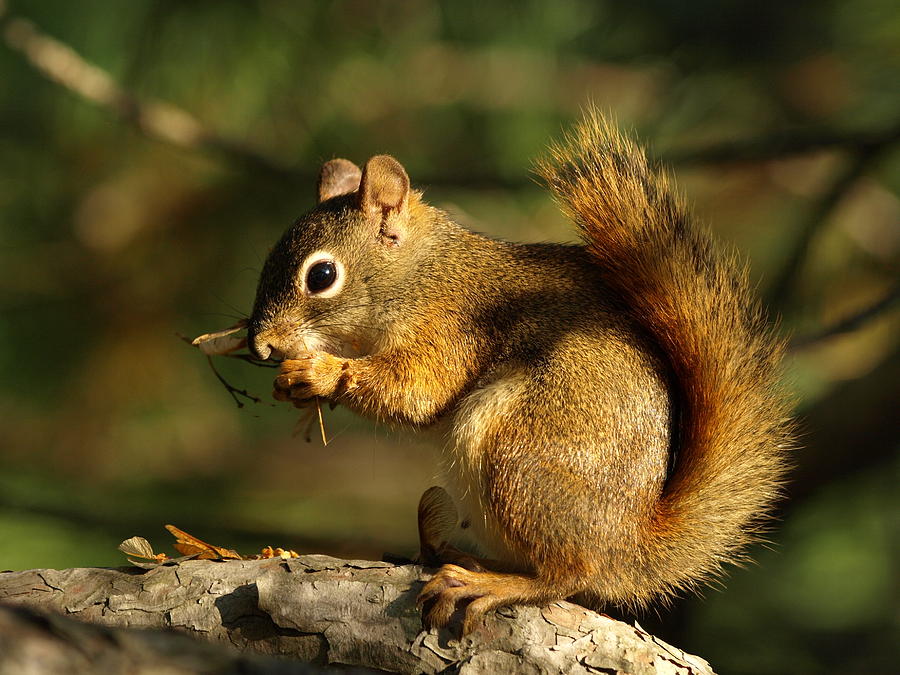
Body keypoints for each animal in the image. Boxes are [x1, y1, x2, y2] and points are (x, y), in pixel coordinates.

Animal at [246, 109, 796, 632]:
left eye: (322, 275)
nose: (261, 345)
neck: (420, 272)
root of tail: (631, 544)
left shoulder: (448, 325)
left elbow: (418, 391)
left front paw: (318, 373)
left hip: (519, 457)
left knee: (571, 573)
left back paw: (488, 584)